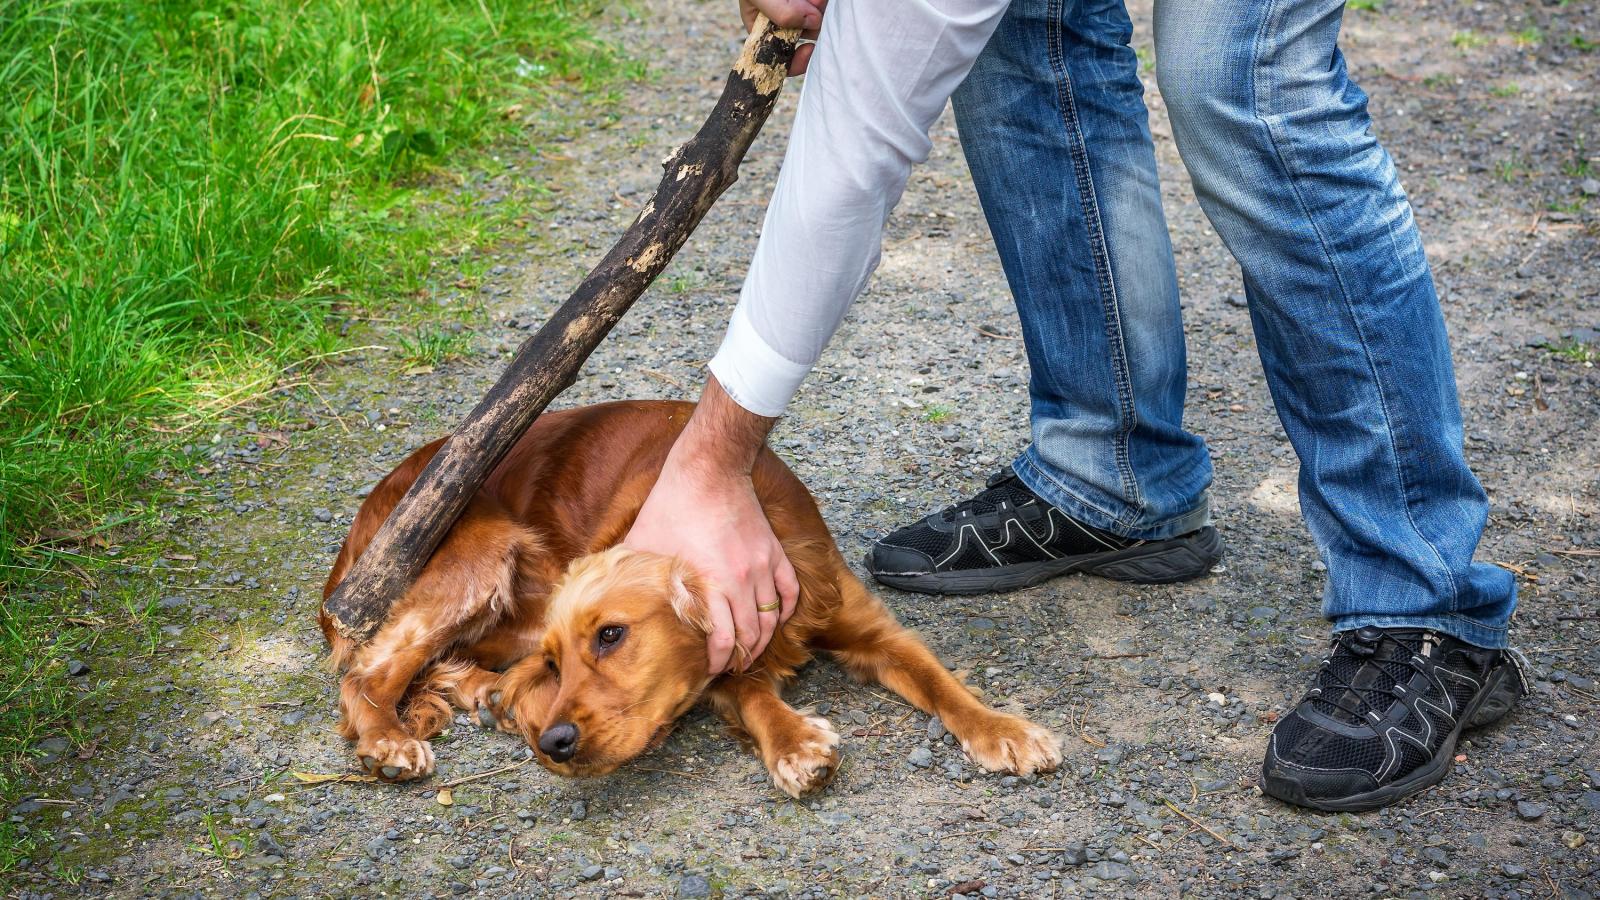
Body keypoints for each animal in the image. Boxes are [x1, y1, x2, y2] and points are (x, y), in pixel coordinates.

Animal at [321, 398, 1062, 791]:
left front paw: (1004, 729)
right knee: (367, 671)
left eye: (611, 636)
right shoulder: (722, 667)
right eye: (561, 661)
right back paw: (390, 739)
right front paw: (796, 744)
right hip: (482, 553)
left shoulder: (870, 629)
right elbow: (756, 696)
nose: (554, 743)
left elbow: (941, 683)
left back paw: (484, 695)